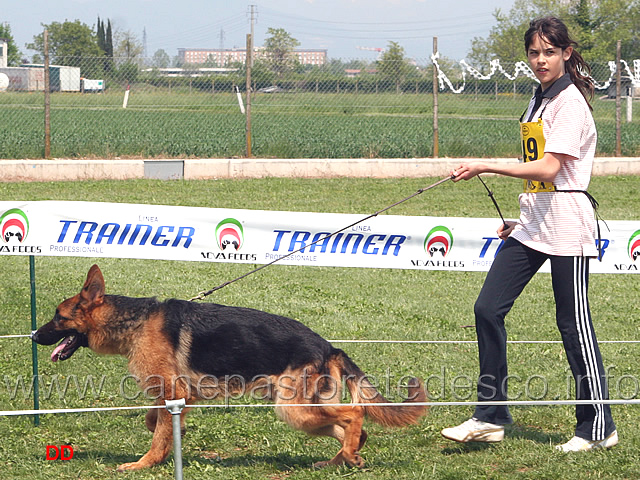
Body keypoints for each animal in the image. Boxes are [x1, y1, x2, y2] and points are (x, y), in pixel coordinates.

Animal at [32, 266, 428, 472]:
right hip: (302, 411)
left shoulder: (174, 392)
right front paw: (173, 435)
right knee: (352, 428)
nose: (34, 335)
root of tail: (329, 345)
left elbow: (158, 434)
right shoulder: (178, 395)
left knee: (354, 413)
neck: (135, 321)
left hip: (294, 409)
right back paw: (344, 458)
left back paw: (346, 454)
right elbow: (156, 421)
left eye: (58, 317)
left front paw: (144, 464)